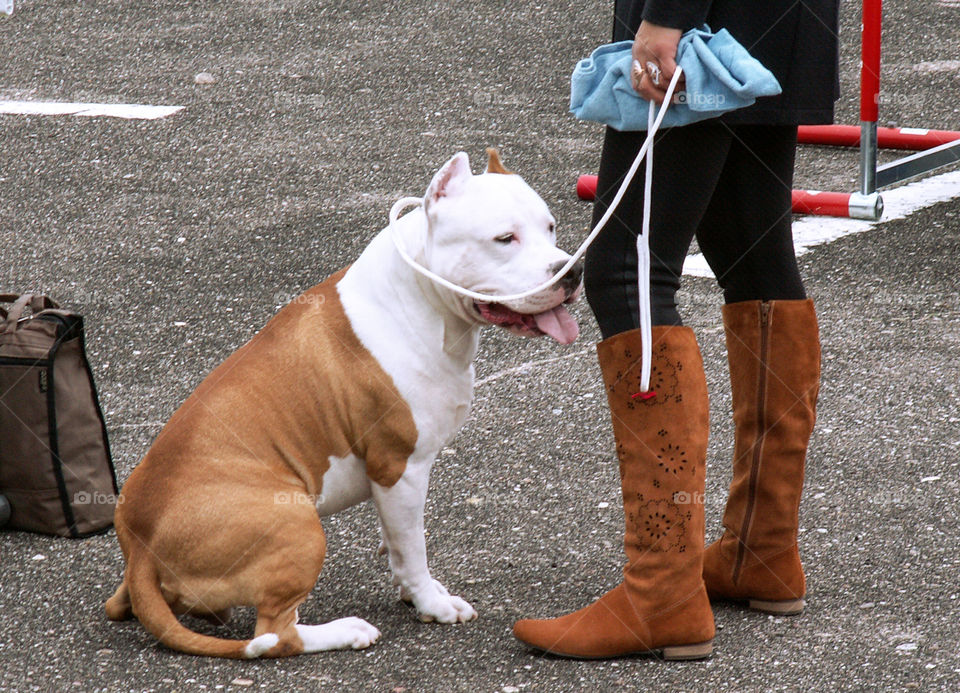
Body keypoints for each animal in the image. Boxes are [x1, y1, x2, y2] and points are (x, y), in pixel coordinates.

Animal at [108, 149, 580, 656]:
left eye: (551, 227)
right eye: (504, 239)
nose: (571, 270)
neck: (420, 300)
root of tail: (140, 547)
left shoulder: (391, 482)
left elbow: (397, 542)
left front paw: (410, 591)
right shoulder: (400, 467)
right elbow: (413, 547)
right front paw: (432, 603)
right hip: (297, 525)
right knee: (276, 633)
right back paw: (346, 630)